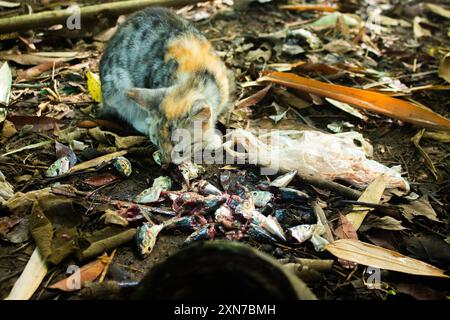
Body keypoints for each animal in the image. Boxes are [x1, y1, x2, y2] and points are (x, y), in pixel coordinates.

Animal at [99, 7, 232, 165]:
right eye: (157, 142)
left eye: (180, 151)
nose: (166, 162)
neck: (194, 78)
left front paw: (210, 139)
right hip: (117, 86)